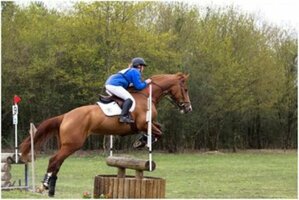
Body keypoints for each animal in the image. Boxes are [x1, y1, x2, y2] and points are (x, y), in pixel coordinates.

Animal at [19, 72, 192, 197]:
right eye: (185, 89)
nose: (188, 108)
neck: (147, 96)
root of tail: (65, 116)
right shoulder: (143, 124)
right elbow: (159, 132)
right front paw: (143, 142)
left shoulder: (147, 124)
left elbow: (159, 128)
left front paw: (141, 141)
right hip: (73, 144)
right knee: (54, 160)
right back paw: (44, 185)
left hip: (66, 144)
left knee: (58, 162)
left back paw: (51, 189)